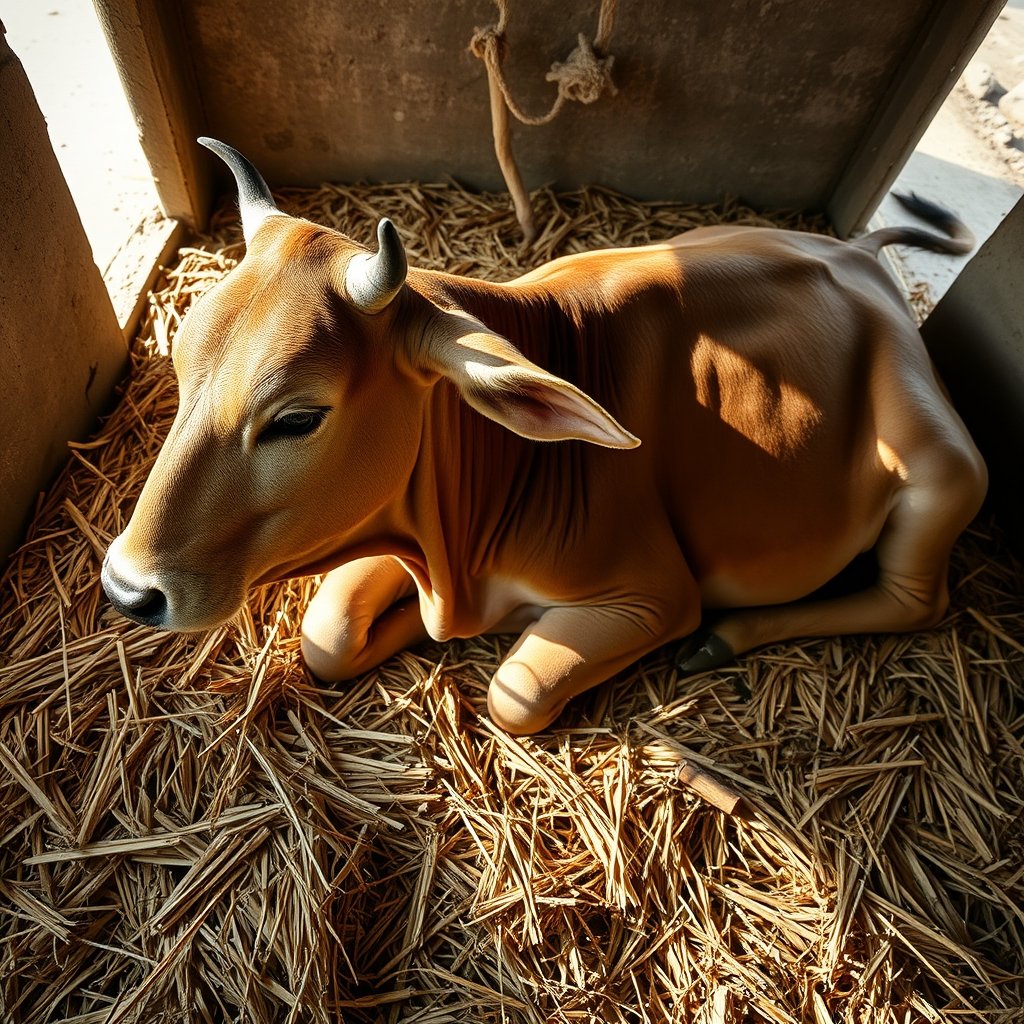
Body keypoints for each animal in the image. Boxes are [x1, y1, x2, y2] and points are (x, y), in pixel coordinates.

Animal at [101, 138, 987, 735]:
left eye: (296, 418)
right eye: (180, 355)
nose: (126, 589)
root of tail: (861, 257)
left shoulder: (655, 593)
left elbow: (515, 691)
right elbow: (328, 637)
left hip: (946, 475)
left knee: (915, 602)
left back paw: (725, 638)